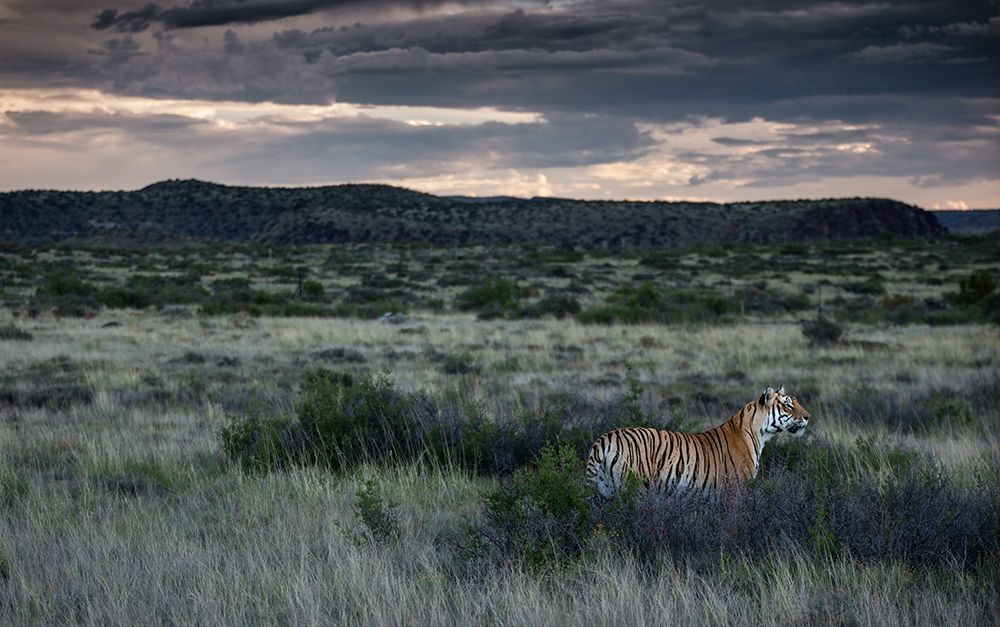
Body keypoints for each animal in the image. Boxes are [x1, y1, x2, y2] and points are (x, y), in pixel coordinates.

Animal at [586, 385, 811, 497]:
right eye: (788, 405)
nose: (808, 417)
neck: (759, 434)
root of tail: (604, 439)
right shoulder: (737, 489)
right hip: (636, 489)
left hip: (603, 491)